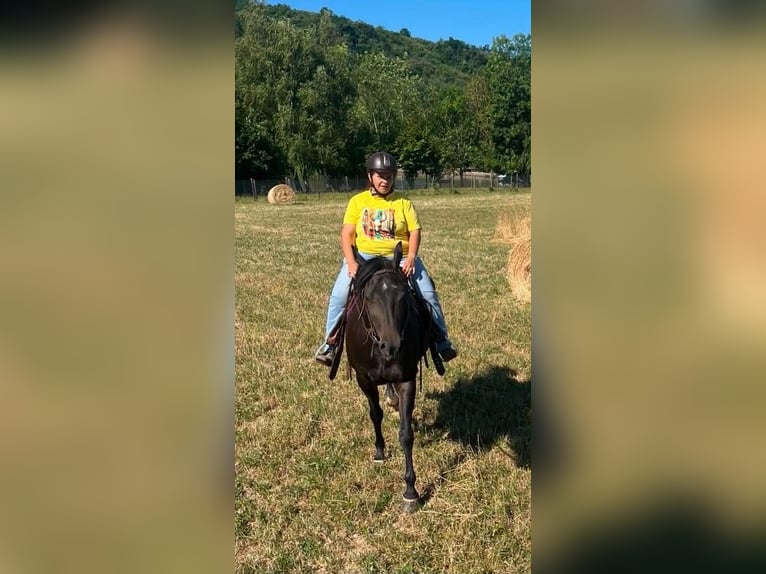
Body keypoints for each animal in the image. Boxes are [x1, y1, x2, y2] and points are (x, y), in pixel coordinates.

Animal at [342, 242, 432, 512]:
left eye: (402, 296)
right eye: (368, 298)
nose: (391, 346)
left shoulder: (407, 379)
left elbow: (406, 434)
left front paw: (411, 491)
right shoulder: (364, 379)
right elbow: (375, 414)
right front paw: (380, 452)